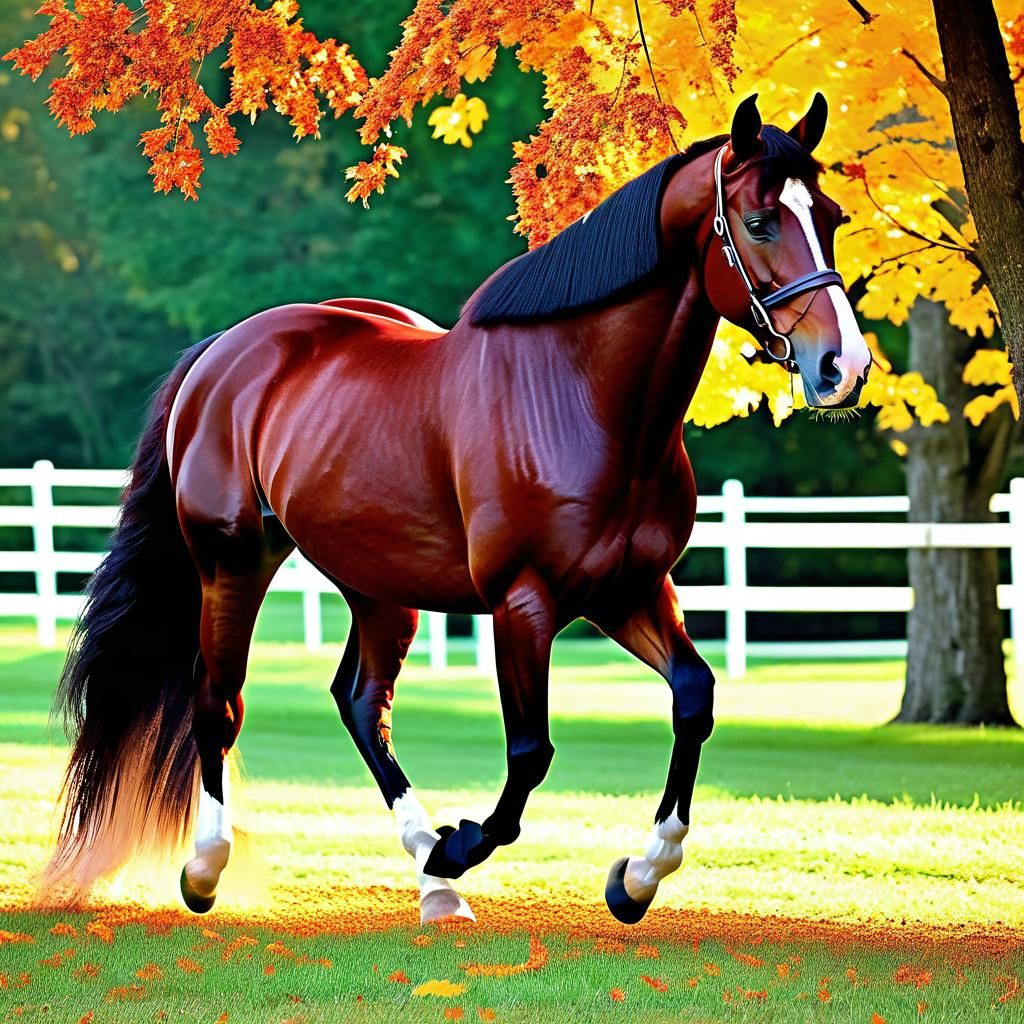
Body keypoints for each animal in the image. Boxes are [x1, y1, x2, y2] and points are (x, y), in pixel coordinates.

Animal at [44, 92, 871, 926]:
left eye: (831, 215)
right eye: (760, 221)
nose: (844, 366)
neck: (581, 398)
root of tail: (221, 355)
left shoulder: (628, 590)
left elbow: (694, 699)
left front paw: (637, 876)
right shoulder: (523, 603)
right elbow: (530, 755)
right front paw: (464, 843)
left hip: (376, 584)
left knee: (361, 703)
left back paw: (432, 877)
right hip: (232, 562)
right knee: (218, 703)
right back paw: (212, 869)